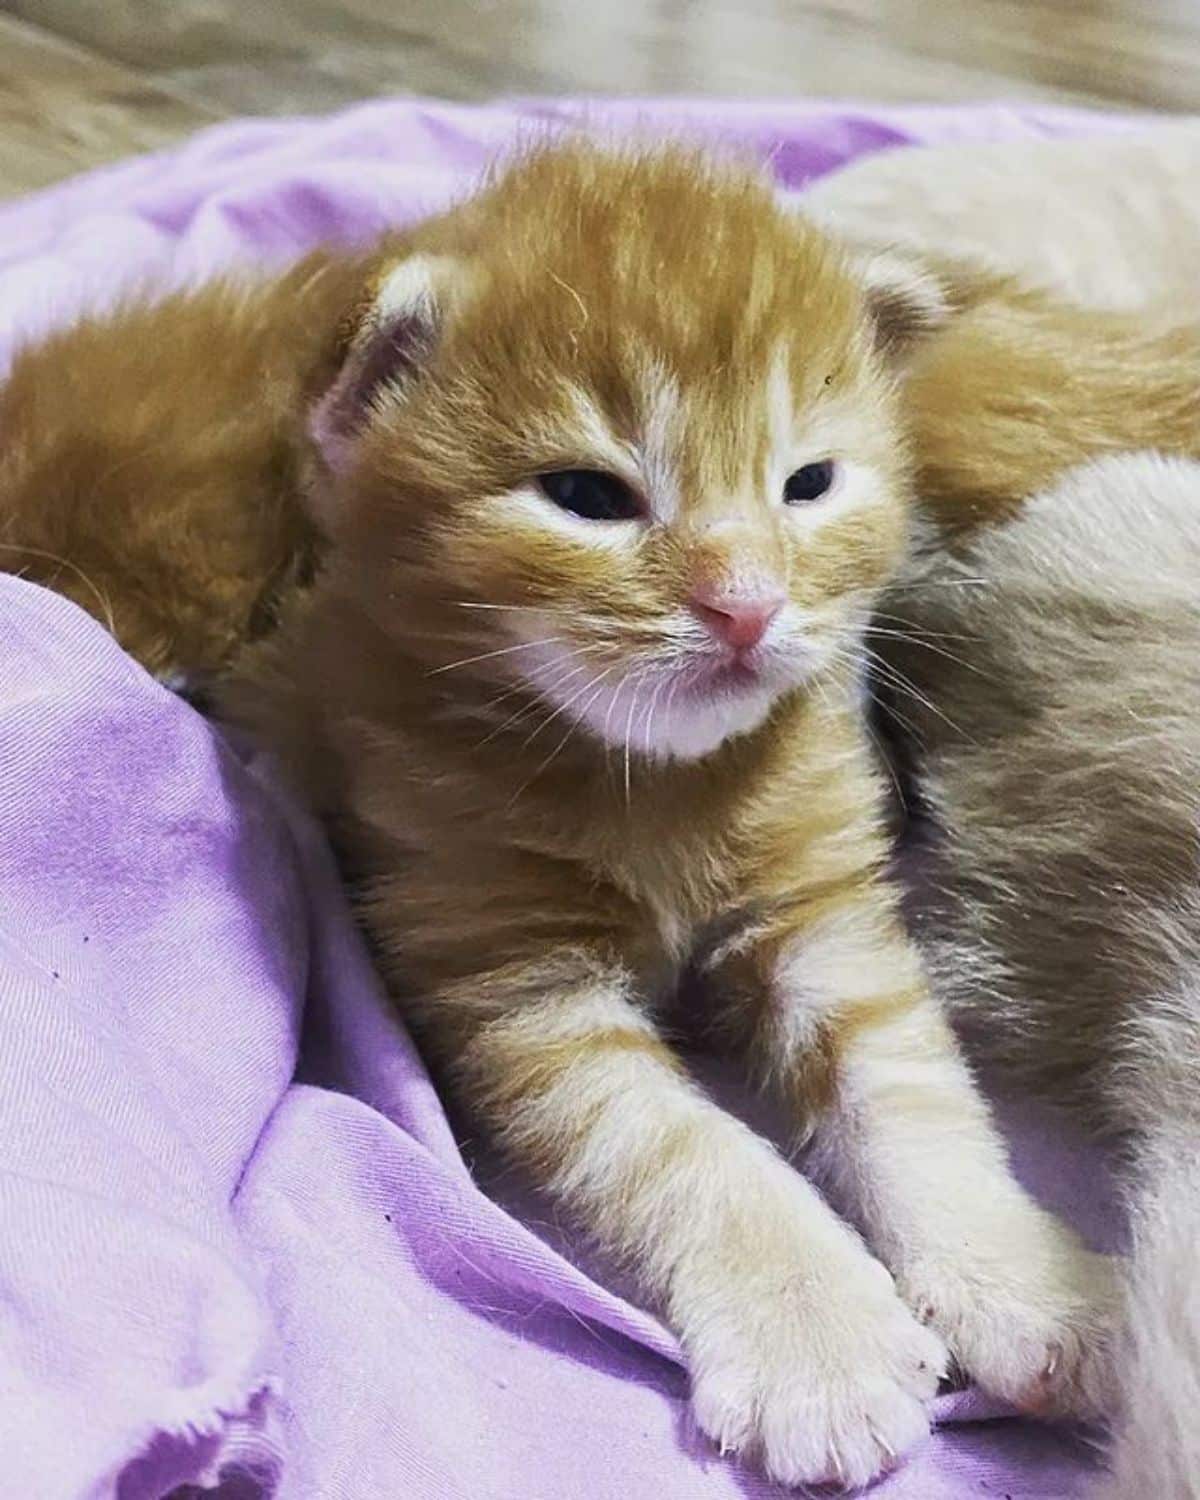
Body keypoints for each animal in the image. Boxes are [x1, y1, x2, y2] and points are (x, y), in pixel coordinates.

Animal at [228, 143, 1116, 1488]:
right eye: (586, 495)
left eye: (808, 484)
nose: (745, 606)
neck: (654, 785)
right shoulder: (515, 978)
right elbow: (685, 1150)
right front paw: (818, 1338)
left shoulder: (824, 911)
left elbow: (914, 1092)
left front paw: (1026, 1280)